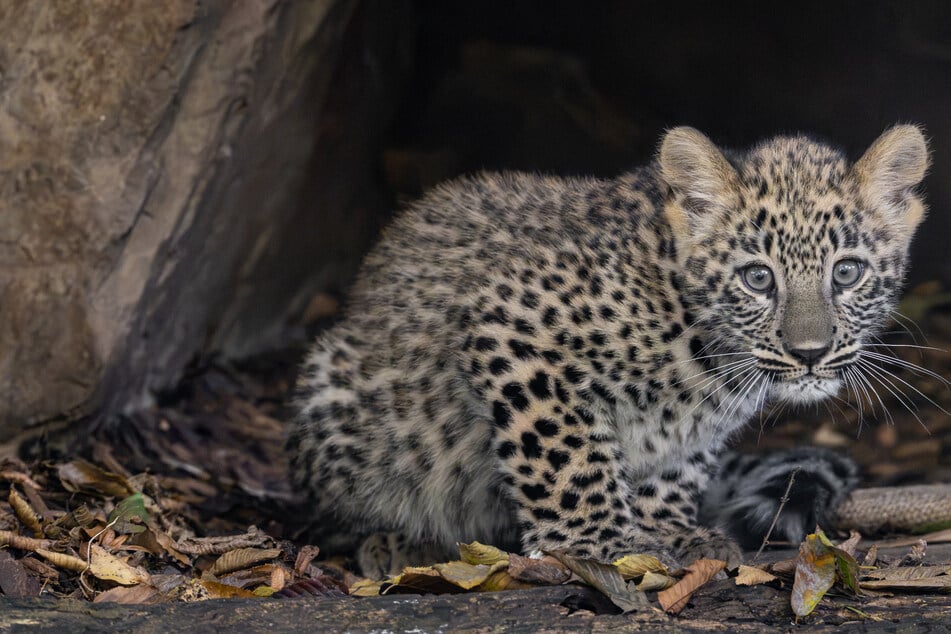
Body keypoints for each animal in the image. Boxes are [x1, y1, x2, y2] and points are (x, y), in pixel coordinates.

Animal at [287, 125, 929, 577]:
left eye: (846, 272)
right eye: (757, 278)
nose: (809, 353)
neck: (705, 355)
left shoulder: (692, 430)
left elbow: (673, 468)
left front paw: (667, 532)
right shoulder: (512, 326)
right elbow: (565, 453)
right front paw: (599, 543)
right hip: (337, 399)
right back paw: (401, 540)